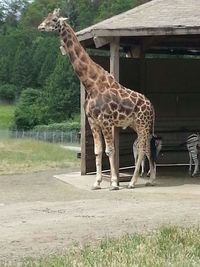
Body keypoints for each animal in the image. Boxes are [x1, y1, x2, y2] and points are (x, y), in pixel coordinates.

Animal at [38, 8, 156, 192]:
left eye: (55, 19)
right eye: (47, 17)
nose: (40, 26)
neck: (91, 84)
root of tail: (151, 106)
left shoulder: (106, 121)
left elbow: (110, 150)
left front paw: (114, 183)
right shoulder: (93, 121)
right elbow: (97, 151)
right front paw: (97, 183)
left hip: (143, 124)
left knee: (143, 148)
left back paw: (132, 182)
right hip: (137, 125)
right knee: (146, 148)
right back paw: (149, 180)